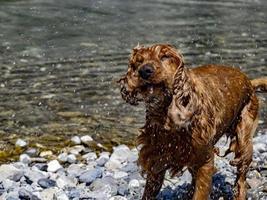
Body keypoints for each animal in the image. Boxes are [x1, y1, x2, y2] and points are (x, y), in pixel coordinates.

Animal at [119, 44, 267, 200]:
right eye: (139, 61)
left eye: (165, 56)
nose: (144, 71)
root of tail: (249, 82)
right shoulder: (157, 159)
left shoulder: (204, 160)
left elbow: (200, 191)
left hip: (244, 138)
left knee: (241, 178)